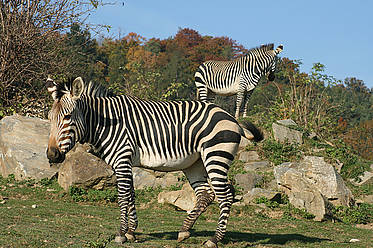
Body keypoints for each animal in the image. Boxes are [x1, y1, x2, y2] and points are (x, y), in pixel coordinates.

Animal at [45, 76, 262, 247]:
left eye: (68, 117)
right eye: (49, 117)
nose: (52, 155)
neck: (105, 123)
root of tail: (231, 118)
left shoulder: (122, 159)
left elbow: (123, 196)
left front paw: (121, 233)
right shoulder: (126, 163)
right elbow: (131, 195)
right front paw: (131, 232)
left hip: (215, 156)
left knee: (225, 196)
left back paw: (214, 239)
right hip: (195, 164)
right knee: (206, 195)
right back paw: (184, 231)